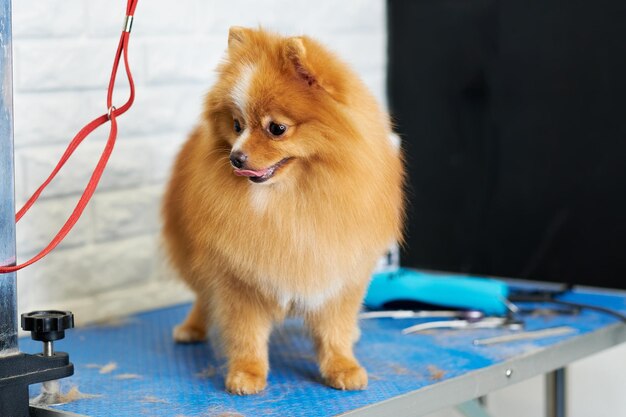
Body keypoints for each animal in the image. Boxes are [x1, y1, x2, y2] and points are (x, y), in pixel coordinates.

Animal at [161, 26, 402, 394]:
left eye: (277, 128)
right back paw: (192, 327)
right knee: (203, 295)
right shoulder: (238, 277)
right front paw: (246, 373)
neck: (290, 199)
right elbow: (246, 333)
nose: (236, 157)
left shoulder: (339, 271)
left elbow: (335, 328)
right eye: (237, 125)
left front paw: (342, 366)